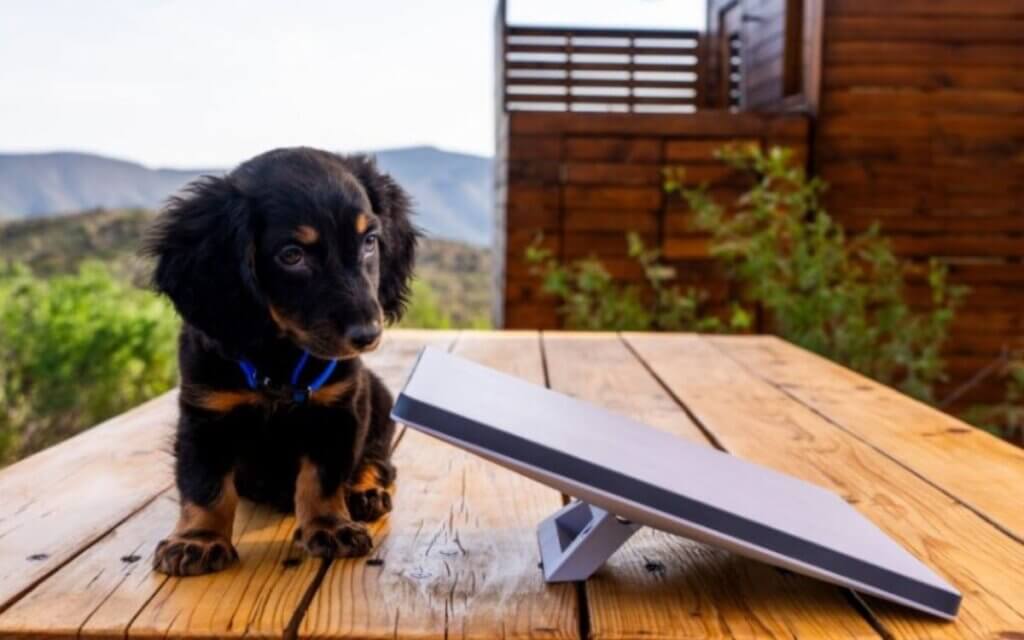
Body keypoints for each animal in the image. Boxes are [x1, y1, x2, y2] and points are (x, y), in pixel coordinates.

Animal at [143, 148, 415, 573]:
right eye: (292, 255)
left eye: (370, 241)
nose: (368, 334)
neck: (279, 362)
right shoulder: (205, 415)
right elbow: (205, 483)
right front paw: (198, 539)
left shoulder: (337, 410)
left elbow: (322, 477)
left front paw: (330, 525)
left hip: (379, 399)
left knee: (380, 461)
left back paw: (364, 493)